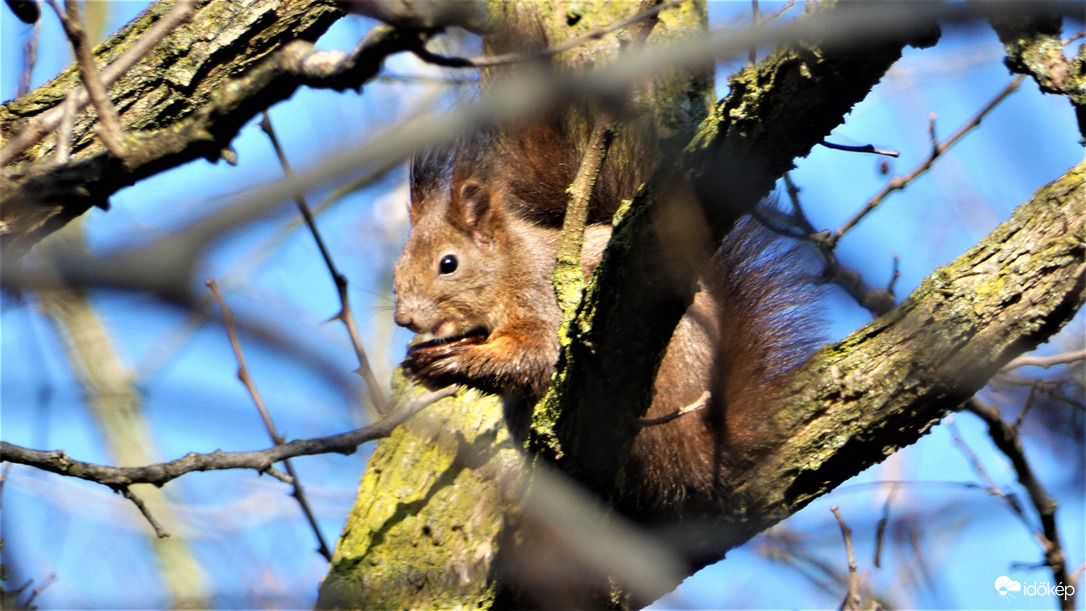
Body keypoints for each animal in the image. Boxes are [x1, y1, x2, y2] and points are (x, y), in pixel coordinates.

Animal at [390, 122, 816, 523]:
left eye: (448, 264)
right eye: (398, 265)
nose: (403, 318)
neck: (512, 268)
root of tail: (706, 450)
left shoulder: (544, 303)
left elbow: (538, 355)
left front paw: (455, 360)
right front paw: (427, 359)